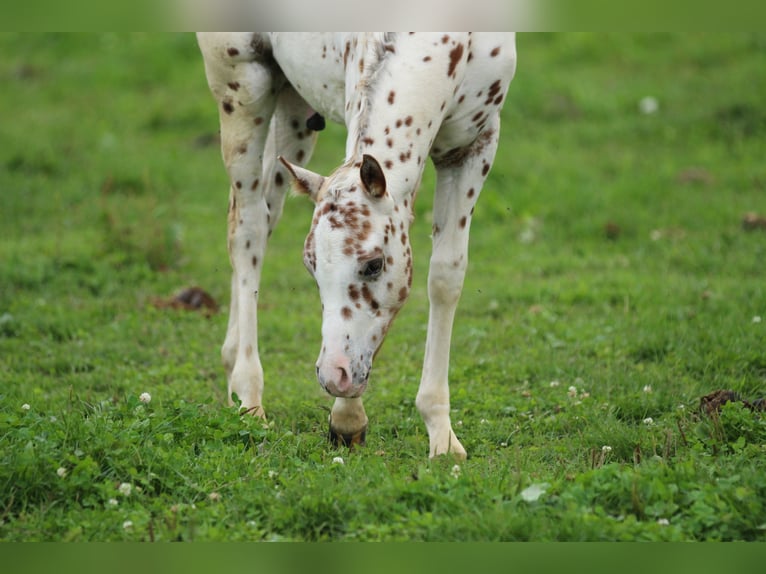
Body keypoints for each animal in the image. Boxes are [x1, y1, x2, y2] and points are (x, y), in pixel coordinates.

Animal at [197, 32, 516, 458]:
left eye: (374, 264)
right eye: (311, 267)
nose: (334, 376)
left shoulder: (473, 145)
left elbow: (444, 277)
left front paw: (442, 437)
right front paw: (346, 419)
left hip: (293, 109)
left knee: (266, 213)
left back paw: (232, 364)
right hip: (243, 87)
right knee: (247, 230)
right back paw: (249, 396)